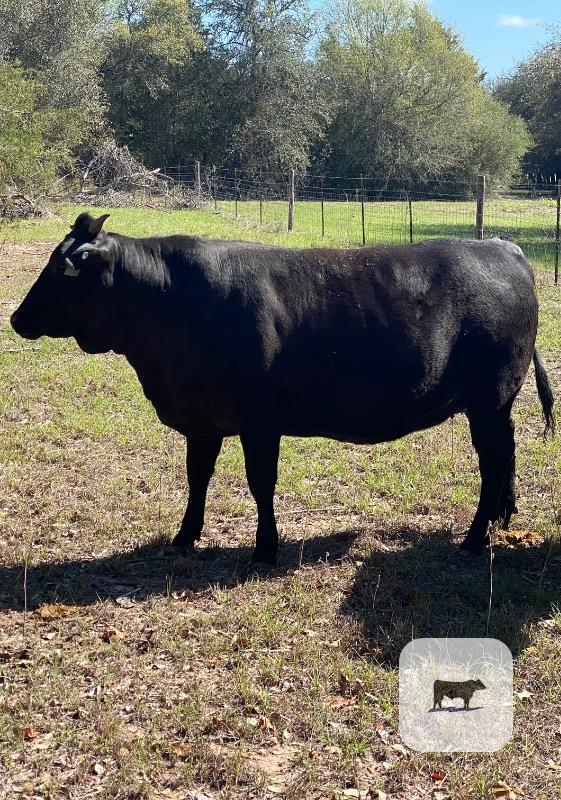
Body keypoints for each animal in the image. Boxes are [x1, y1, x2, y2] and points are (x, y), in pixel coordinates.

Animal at [10, 212, 554, 565]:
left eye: (61, 271)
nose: (16, 318)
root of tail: (503, 247)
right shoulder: (203, 419)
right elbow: (197, 478)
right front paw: (185, 537)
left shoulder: (259, 419)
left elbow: (260, 483)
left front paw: (265, 548)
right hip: (496, 405)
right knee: (507, 454)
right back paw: (503, 519)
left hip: (488, 401)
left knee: (491, 463)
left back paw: (475, 538)